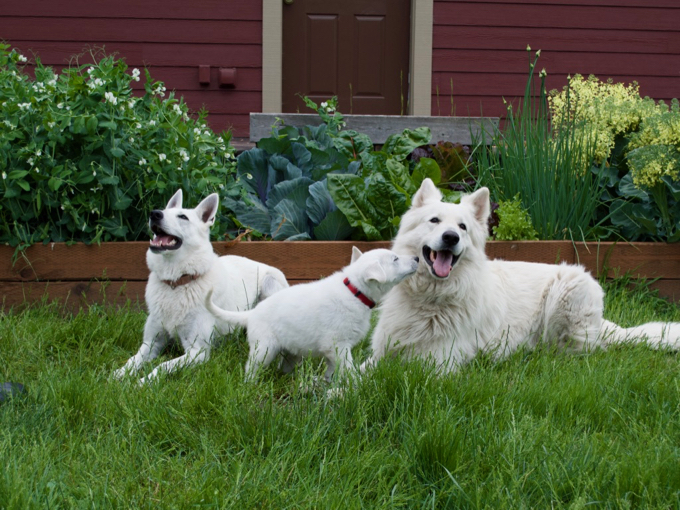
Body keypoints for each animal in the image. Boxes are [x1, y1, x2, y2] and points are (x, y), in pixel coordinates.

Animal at [205, 247, 418, 382]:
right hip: (264, 347)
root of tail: (252, 313)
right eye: (395, 259)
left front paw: (329, 383)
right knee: (252, 367)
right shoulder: (338, 345)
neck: (355, 291)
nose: (417, 258)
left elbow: (332, 369)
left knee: (284, 367)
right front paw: (356, 383)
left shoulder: (333, 350)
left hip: (290, 352)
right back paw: (249, 385)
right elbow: (349, 367)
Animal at [366, 179, 680, 370]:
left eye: (463, 227)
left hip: (568, 289)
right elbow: (360, 376)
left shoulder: (437, 362)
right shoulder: (380, 354)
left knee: (578, 350)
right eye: (434, 221)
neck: (430, 299)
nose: (451, 237)